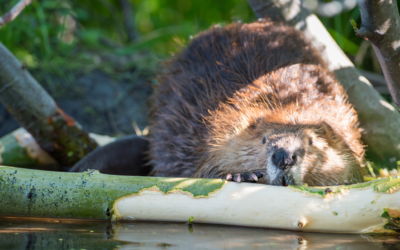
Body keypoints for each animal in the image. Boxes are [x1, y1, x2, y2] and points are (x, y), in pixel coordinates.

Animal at [70, 19, 364, 187]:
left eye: (312, 142)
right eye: (264, 141)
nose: (284, 157)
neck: (289, 108)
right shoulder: (214, 133)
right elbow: (203, 169)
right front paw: (241, 175)